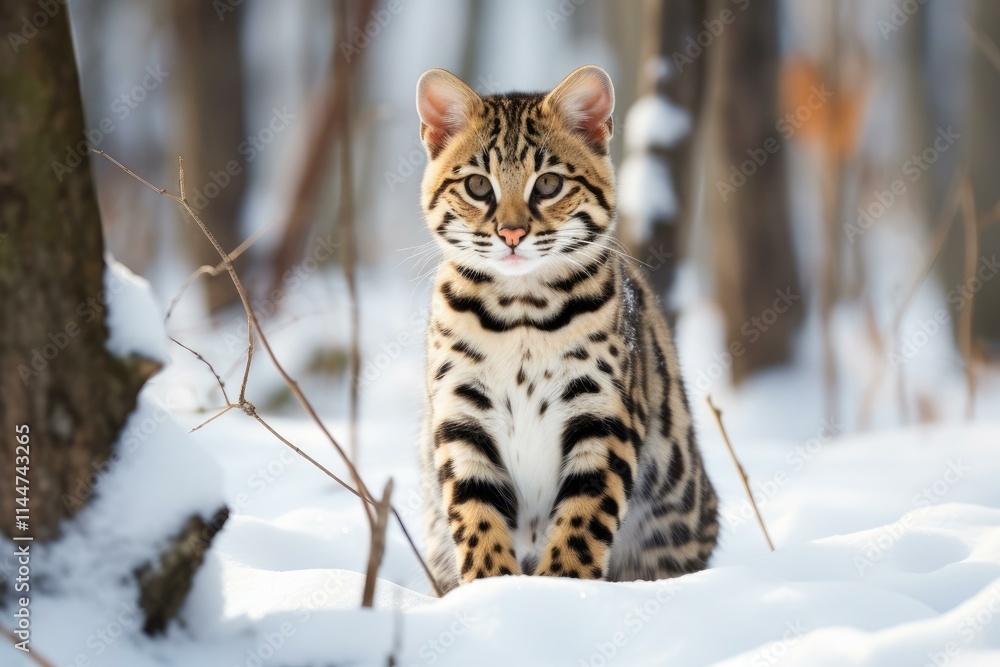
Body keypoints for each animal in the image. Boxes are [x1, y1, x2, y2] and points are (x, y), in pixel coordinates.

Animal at [414, 65, 720, 592]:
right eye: (478, 186)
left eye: (549, 184)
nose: (511, 234)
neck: (519, 311)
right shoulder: (462, 414)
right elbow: (476, 515)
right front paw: (491, 590)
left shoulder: (602, 412)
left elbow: (584, 517)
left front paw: (563, 588)